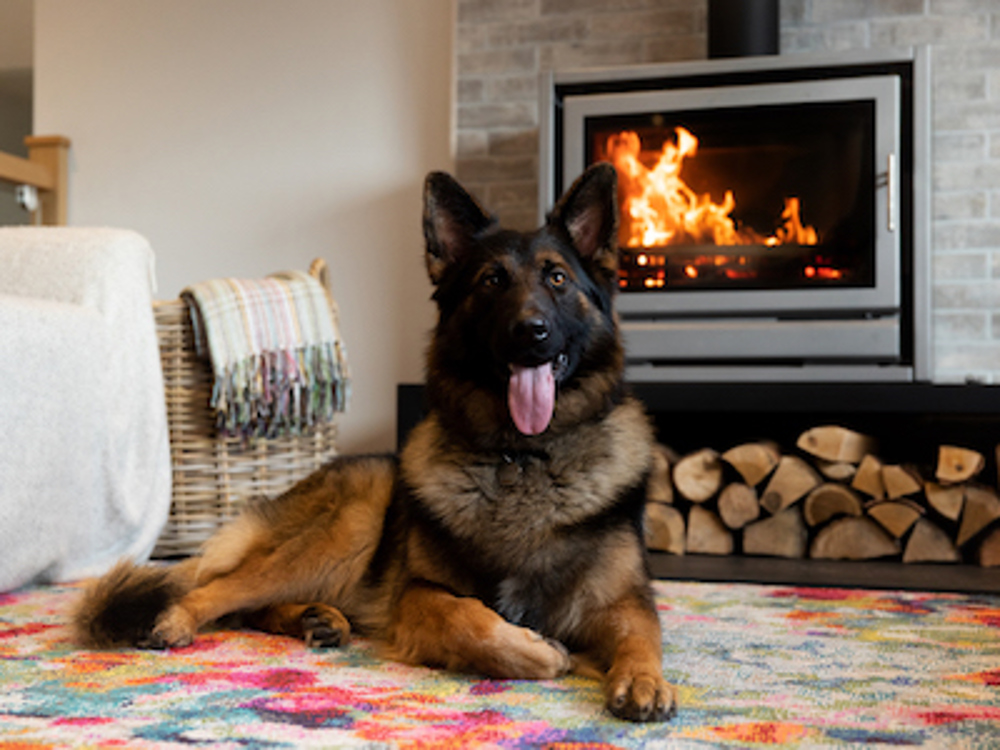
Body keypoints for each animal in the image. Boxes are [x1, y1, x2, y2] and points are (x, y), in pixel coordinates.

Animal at [74, 163, 676, 724]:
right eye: (491, 281)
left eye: (556, 278)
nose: (531, 333)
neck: (523, 456)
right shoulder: (418, 595)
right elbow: (475, 623)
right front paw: (541, 652)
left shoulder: (626, 600)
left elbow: (643, 634)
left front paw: (645, 679)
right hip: (350, 526)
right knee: (219, 591)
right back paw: (179, 617)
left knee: (249, 605)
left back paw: (314, 617)